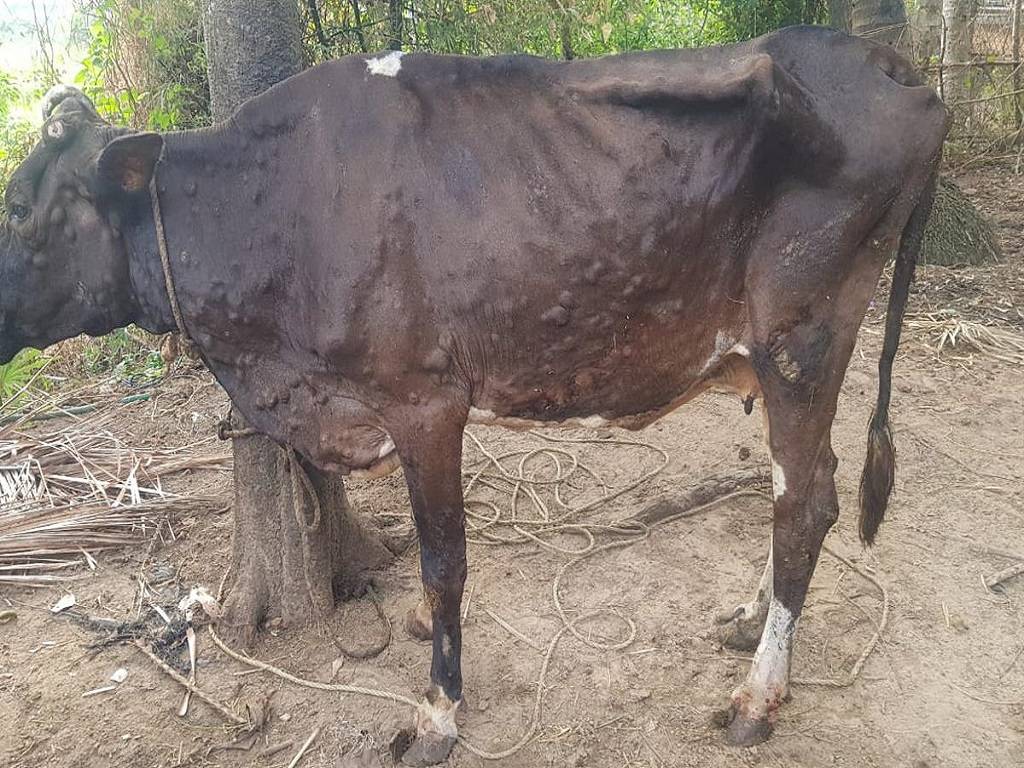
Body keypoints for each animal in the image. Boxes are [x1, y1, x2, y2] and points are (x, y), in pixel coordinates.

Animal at [0, 24, 946, 765]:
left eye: (17, 208)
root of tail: (881, 61)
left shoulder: (424, 401)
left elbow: (444, 560)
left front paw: (437, 714)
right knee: (803, 489)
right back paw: (753, 620)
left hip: (804, 340)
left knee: (807, 502)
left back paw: (756, 697)